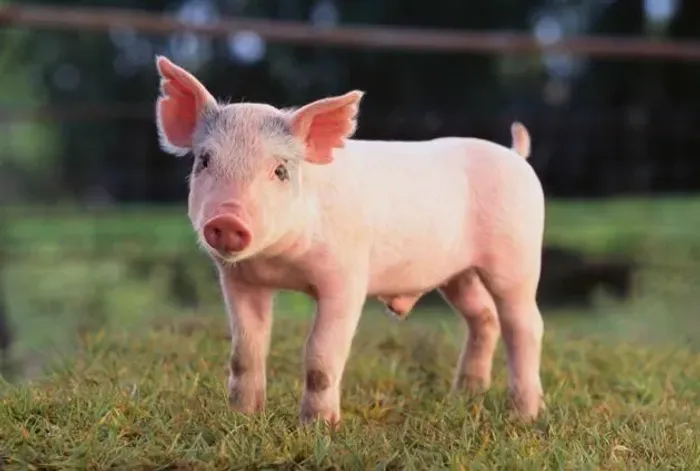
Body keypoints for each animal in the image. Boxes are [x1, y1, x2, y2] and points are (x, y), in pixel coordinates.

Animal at [153, 55, 546, 425]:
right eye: (204, 161)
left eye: (280, 170)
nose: (227, 219)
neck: (280, 262)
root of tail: (516, 155)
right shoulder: (240, 280)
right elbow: (245, 351)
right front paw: (243, 417)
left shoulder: (346, 277)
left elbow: (320, 354)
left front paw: (318, 427)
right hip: (458, 274)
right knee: (484, 316)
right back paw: (464, 396)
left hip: (517, 256)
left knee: (524, 324)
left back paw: (525, 415)